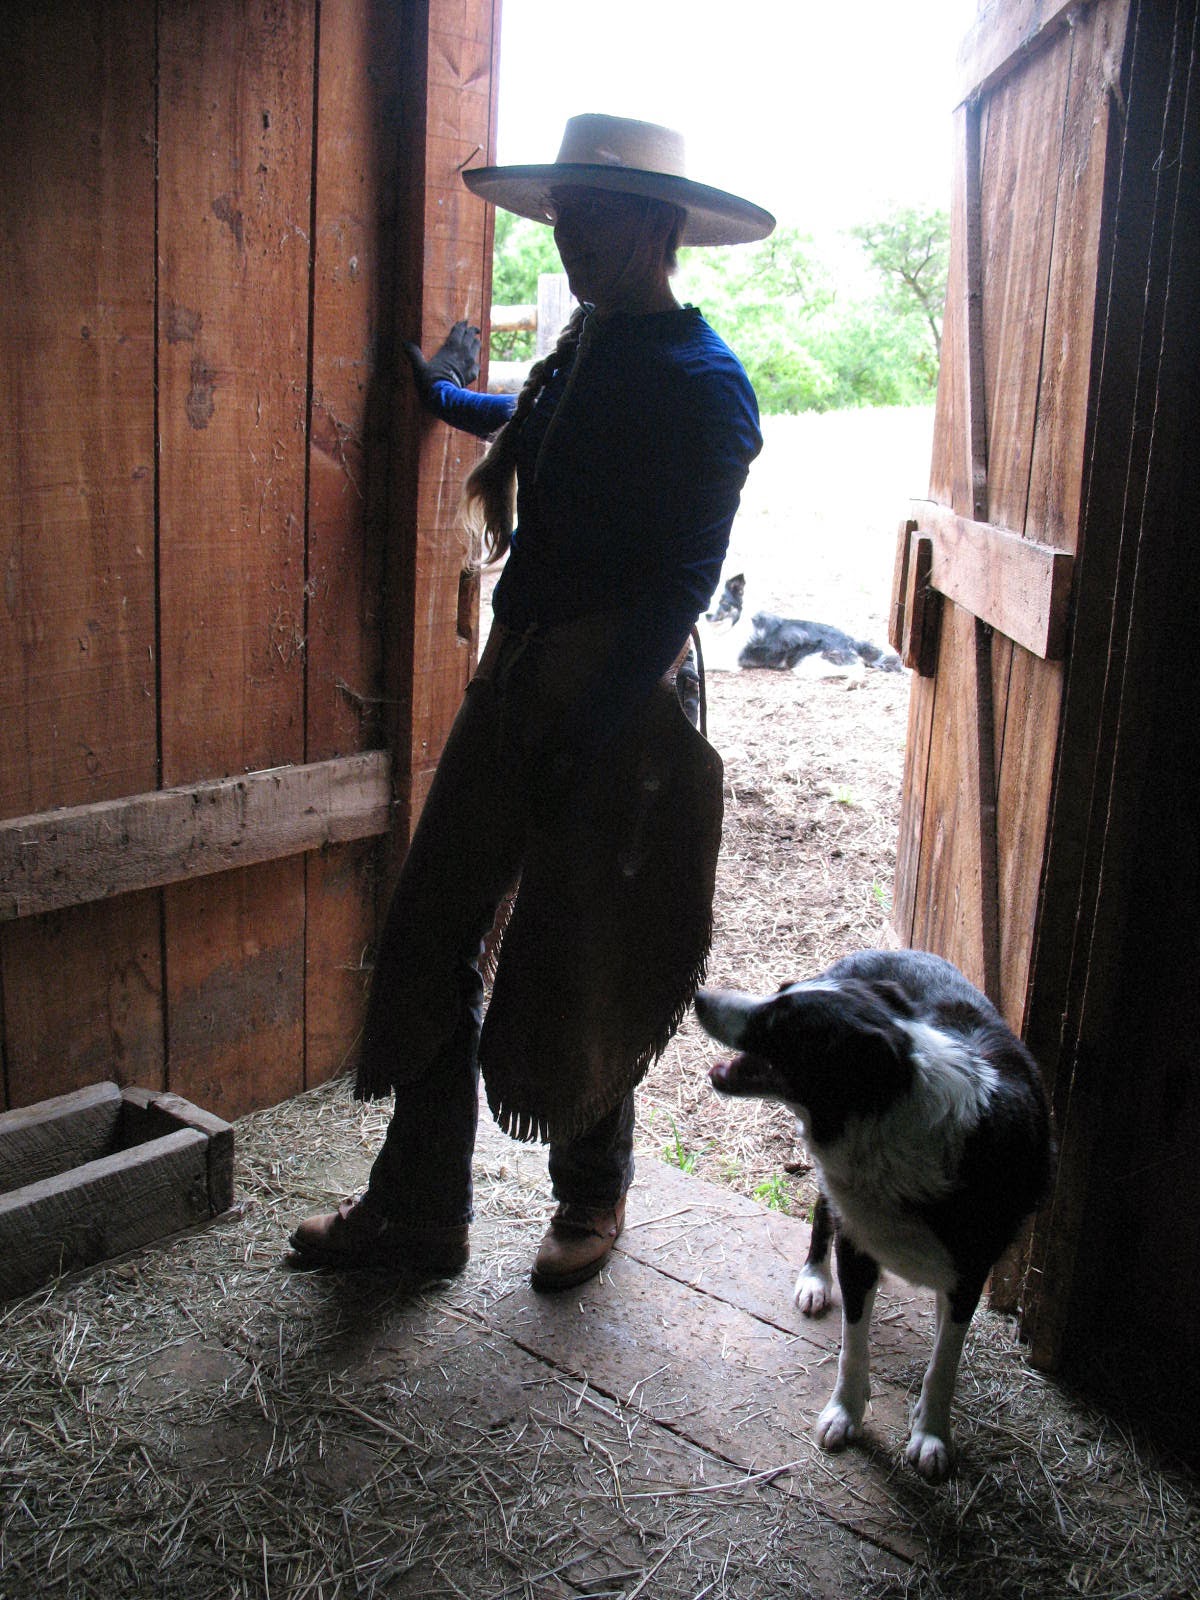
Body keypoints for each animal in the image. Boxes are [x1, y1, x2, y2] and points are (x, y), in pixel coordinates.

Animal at [694, 948, 1054, 1483]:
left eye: (780, 1022)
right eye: (780, 989)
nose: (698, 996)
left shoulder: (970, 1272)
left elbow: (944, 1362)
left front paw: (931, 1434)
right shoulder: (857, 1242)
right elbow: (853, 1346)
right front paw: (845, 1414)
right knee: (823, 1210)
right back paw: (815, 1280)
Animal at [699, 573, 902, 675]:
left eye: (724, 603)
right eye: (706, 602)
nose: (707, 615)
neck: (728, 627)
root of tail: (850, 640)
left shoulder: (728, 661)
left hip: (811, 659)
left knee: (856, 668)